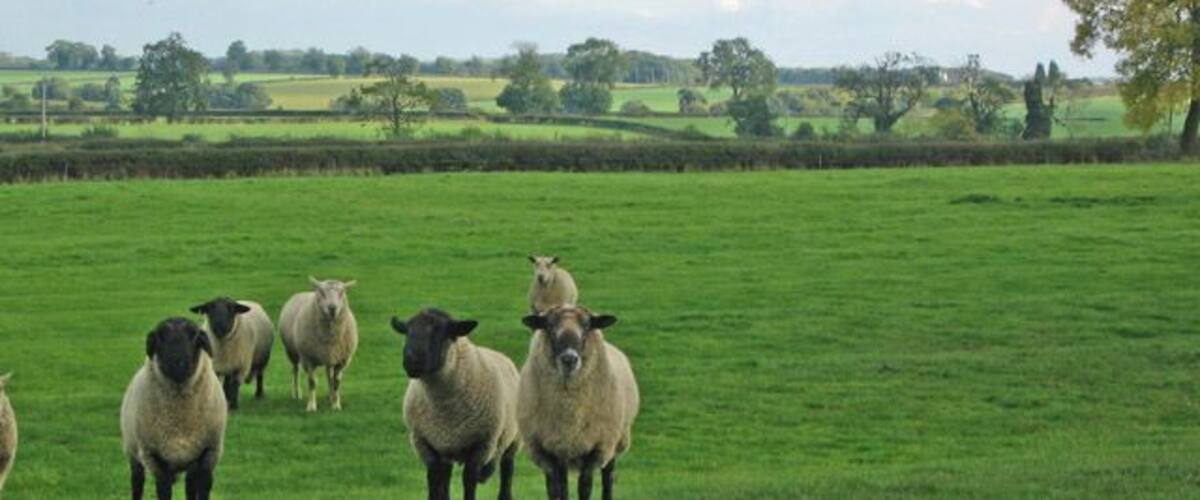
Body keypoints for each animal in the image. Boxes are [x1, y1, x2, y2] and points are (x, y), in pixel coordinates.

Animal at [121, 318, 227, 500]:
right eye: (160, 336)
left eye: (194, 335)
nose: (178, 364)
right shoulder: (154, 457)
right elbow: (163, 491)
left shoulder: (209, 454)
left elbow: (203, 490)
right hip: (133, 451)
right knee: (137, 482)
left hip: (192, 462)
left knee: (190, 488)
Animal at [279, 277, 358, 412]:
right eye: (321, 292)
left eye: (342, 292)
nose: (332, 308)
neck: (330, 335)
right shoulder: (308, 358)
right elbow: (312, 382)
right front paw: (311, 406)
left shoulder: (342, 360)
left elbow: (336, 383)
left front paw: (336, 405)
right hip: (291, 352)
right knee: (295, 370)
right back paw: (296, 393)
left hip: (329, 356)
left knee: (328, 375)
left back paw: (330, 396)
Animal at [391, 309, 520, 500]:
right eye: (407, 331)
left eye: (441, 332)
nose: (411, 362)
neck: (443, 407)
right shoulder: (424, 443)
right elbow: (434, 480)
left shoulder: (481, 445)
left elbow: (469, 480)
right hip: (447, 447)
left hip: (513, 439)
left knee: (507, 469)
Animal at [518, 305, 639, 500]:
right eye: (549, 326)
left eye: (587, 326)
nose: (569, 359)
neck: (569, 411)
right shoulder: (544, 450)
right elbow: (555, 489)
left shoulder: (597, 448)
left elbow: (585, 487)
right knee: (564, 484)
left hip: (615, 440)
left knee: (608, 477)